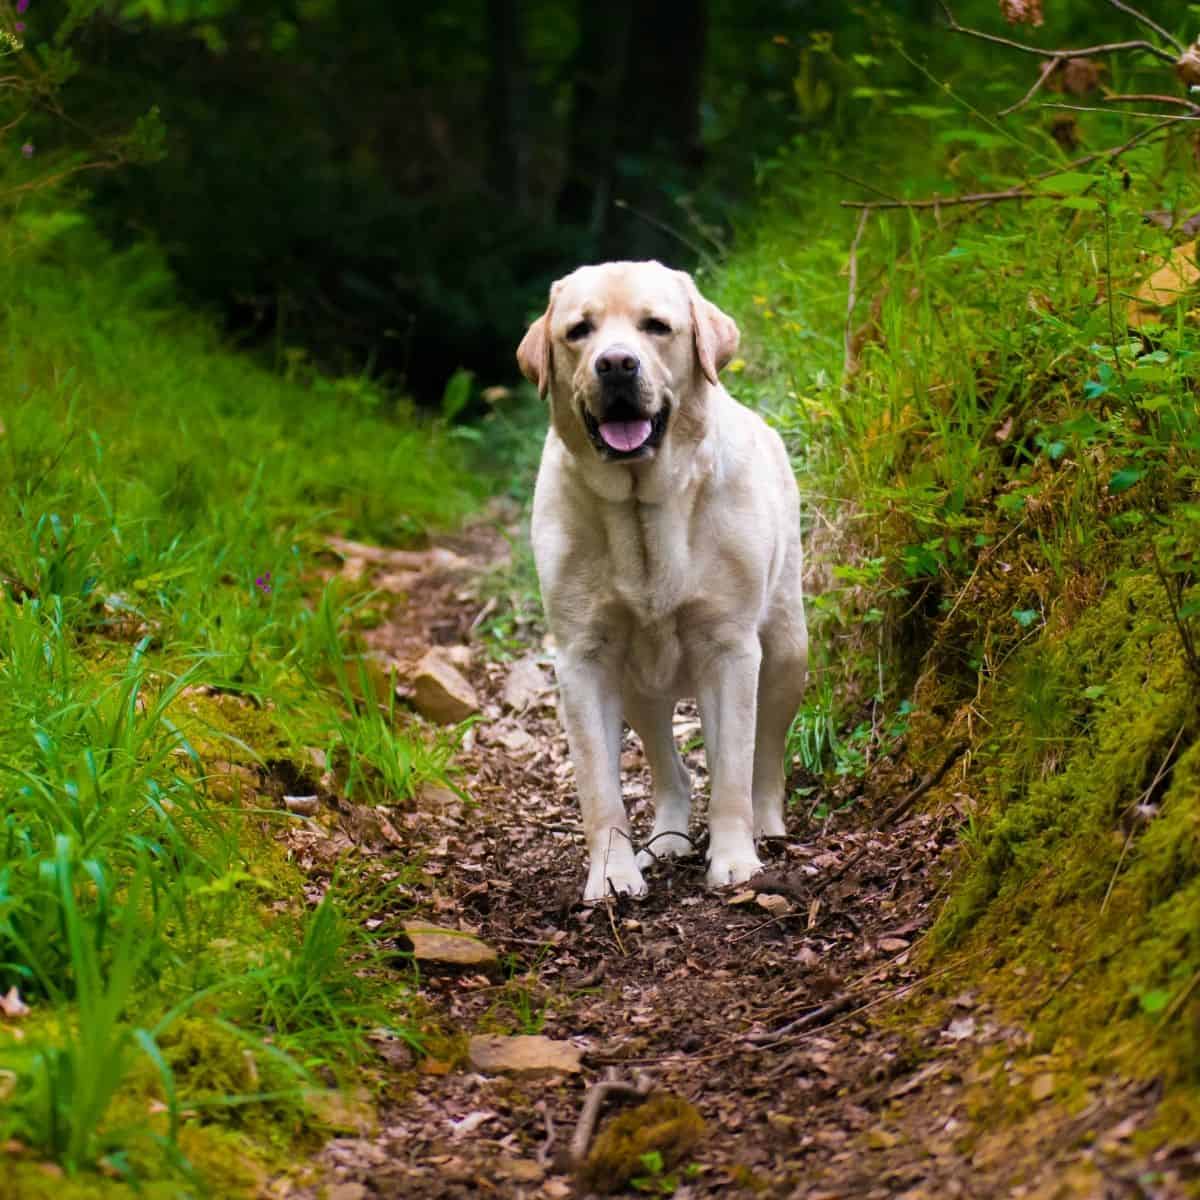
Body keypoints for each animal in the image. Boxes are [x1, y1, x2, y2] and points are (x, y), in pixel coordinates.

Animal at [516, 262, 806, 902]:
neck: (641, 509)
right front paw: (610, 875)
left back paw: (767, 827)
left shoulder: (730, 649)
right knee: (670, 768)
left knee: (764, 756)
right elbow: (599, 788)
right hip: (637, 686)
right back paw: (668, 840)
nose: (617, 364)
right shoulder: (583, 660)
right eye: (579, 331)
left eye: (656, 326)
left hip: (786, 651)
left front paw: (735, 861)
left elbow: (733, 770)